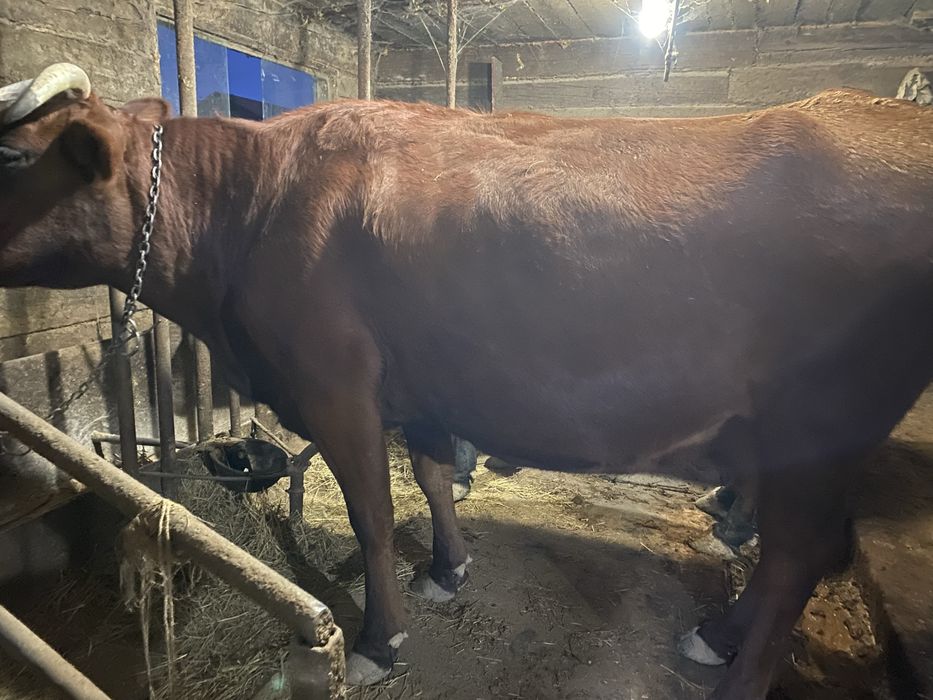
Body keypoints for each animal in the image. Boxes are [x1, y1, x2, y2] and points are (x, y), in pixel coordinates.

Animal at [1, 63, 932, 700]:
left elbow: (374, 515)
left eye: (10, 155)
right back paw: (716, 633)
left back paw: (738, 677)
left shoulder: (336, 385)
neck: (251, 206)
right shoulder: (422, 380)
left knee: (796, 555)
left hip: (818, 421)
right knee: (794, 553)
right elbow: (431, 476)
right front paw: (447, 570)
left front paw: (378, 640)